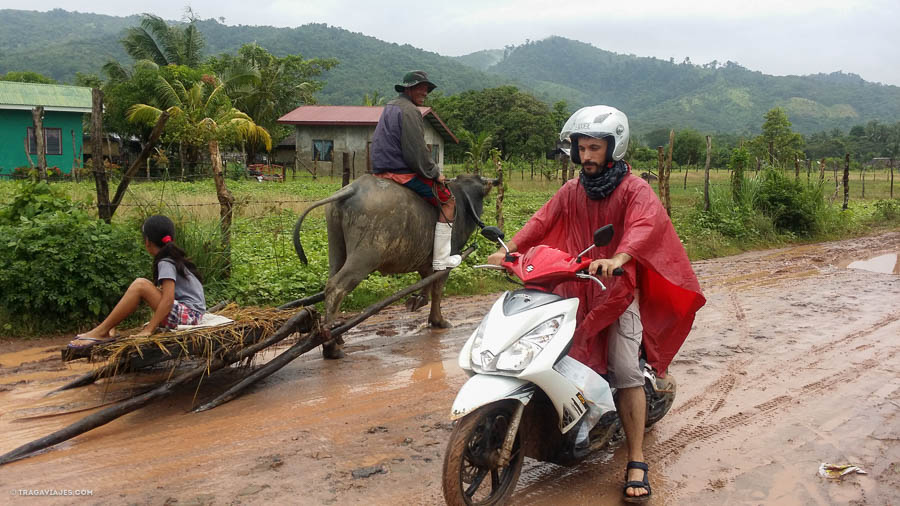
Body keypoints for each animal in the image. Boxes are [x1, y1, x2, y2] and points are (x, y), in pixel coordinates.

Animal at [294, 176, 500, 358]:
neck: (462, 201)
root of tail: (354, 188)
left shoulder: (425, 261)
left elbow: (427, 282)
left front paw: (418, 300)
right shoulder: (447, 257)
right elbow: (437, 289)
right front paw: (438, 321)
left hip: (336, 246)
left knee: (330, 283)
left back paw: (337, 335)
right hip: (365, 256)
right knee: (336, 287)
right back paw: (330, 346)